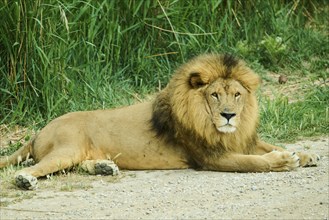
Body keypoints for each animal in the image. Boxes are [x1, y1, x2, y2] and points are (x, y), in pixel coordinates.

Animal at [0, 53, 318, 189]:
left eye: (237, 95)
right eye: (215, 95)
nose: (229, 115)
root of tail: (38, 131)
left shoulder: (240, 138)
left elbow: (267, 145)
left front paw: (304, 154)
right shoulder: (210, 156)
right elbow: (252, 162)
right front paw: (284, 160)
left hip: (77, 153)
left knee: (76, 165)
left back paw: (105, 167)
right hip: (67, 147)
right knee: (37, 167)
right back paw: (25, 180)